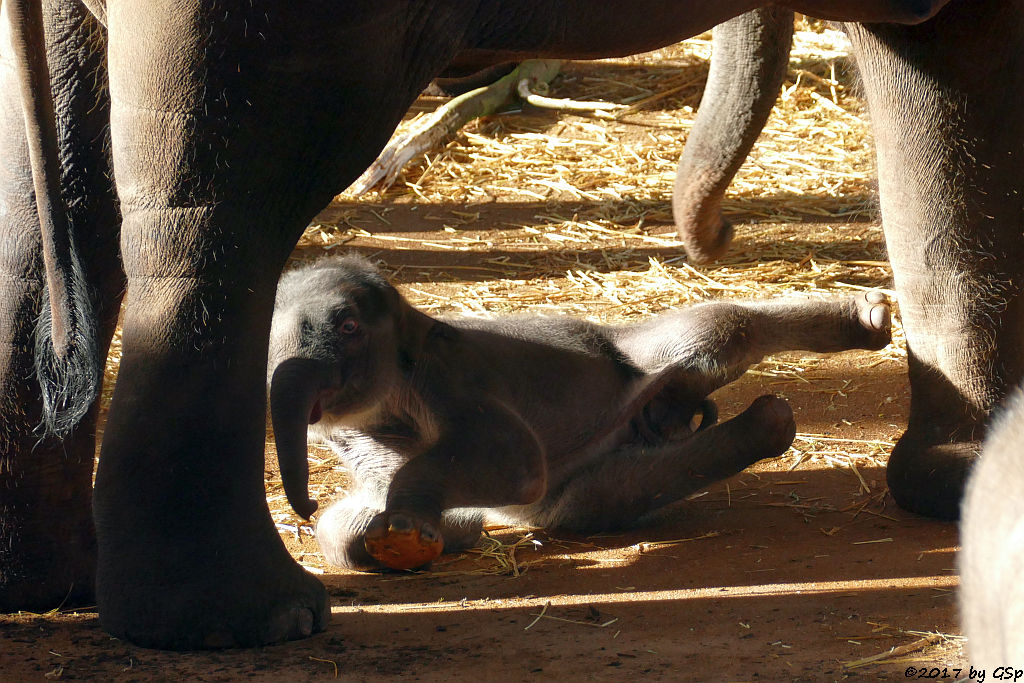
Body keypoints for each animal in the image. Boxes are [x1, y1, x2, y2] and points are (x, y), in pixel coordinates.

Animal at [270, 255, 888, 573]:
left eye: (349, 325)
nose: (304, 505)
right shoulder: (355, 434)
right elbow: (436, 514)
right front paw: (402, 537)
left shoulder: (452, 377)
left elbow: (518, 464)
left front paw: (399, 532)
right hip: (601, 481)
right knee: (600, 500)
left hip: (625, 352)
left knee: (722, 328)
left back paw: (869, 317)